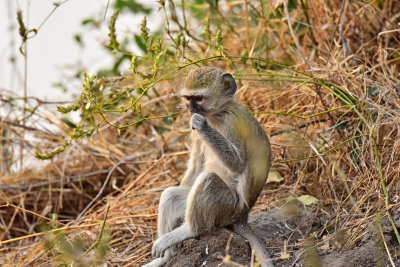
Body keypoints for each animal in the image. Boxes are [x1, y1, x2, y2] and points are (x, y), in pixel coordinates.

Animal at [142, 67, 274, 267]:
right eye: (188, 98)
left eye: (199, 99)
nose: (190, 109)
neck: (216, 114)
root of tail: (242, 215)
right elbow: (196, 164)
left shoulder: (232, 122)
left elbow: (237, 164)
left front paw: (202, 125)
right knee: (171, 195)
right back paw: (167, 256)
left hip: (227, 207)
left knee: (208, 179)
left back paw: (188, 230)